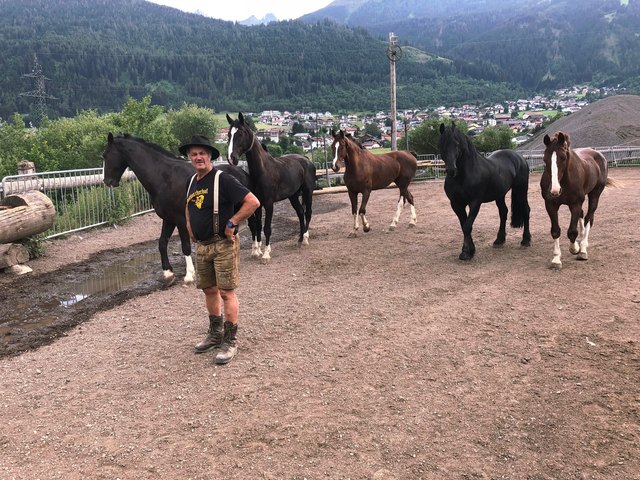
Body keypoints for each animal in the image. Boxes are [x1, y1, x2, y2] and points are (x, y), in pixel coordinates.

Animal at [102, 131, 258, 284]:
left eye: (105, 155)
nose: (107, 181)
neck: (165, 177)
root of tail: (242, 172)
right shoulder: (168, 219)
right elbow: (162, 243)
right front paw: (168, 273)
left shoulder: (181, 219)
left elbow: (185, 246)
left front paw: (189, 274)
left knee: (253, 226)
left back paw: (256, 252)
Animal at [226, 111, 316, 264]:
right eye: (228, 134)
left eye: (241, 133)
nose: (231, 158)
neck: (262, 170)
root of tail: (306, 160)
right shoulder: (257, 204)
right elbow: (257, 226)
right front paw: (257, 251)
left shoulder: (268, 203)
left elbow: (267, 228)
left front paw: (266, 254)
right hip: (293, 196)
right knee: (300, 213)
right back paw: (299, 239)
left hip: (308, 192)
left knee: (308, 213)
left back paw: (305, 239)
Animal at [438, 122, 532, 260]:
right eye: (441, 144)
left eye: (456, 144)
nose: (451, 170)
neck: (464, 176)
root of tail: (519, 157)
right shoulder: (456, 204)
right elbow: (464, 225)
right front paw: (469, 250)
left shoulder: (475, 202)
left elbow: (467, 226)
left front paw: (466, 252)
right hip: (500, 194)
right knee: (503, 212)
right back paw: (499, 240)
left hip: (521, 189)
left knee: (526, 210)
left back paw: (526, 240)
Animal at [544, 131, 612, 268]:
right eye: (544, 159)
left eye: (563, 158)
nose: (554, 190)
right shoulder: (550, 205)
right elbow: (555, 231)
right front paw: (556, 259)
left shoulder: (575, 204)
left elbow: (572, 231)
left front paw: (575, 248)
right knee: (582, 215)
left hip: (595, 195)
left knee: (589, 218)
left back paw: (583, 249)